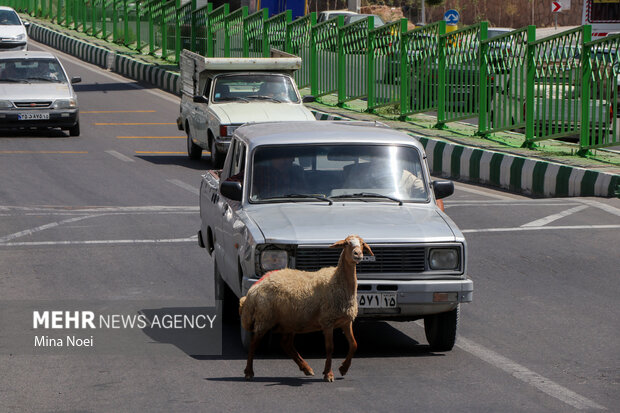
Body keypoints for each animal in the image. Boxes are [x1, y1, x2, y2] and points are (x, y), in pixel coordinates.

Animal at [237, 233, 372, 382]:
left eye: (362, 244)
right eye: (347, 243)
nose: (358, 254)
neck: (336, 280)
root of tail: (254, 290)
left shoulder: (345, 321)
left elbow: (354, 344)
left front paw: (343, 368)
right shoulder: (327, 321)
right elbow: (330, 348)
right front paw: (328, 374)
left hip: (289, 321)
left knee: (286, 344)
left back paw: (306, 368)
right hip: (265, 318)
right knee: (254, 343)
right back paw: (249, 372)